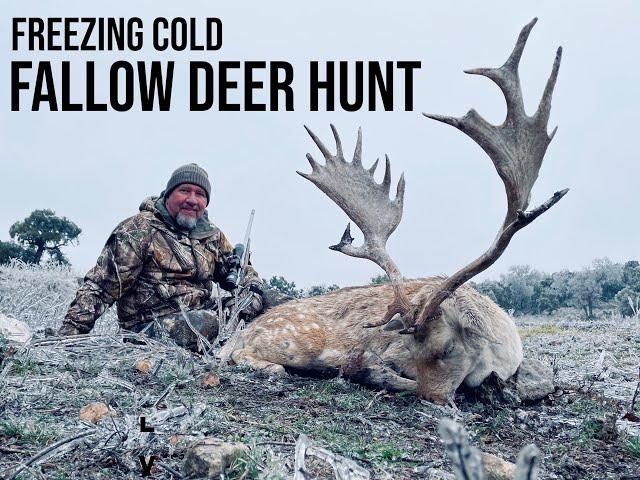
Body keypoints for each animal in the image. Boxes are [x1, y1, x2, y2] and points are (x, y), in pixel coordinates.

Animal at [219, 17, 564, 402]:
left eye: (449, 349)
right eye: (411, 349)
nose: (434, 398)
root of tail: (236, 335)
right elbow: (375, 367)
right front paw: (369, 372)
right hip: (292, 338)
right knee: (248, 356)